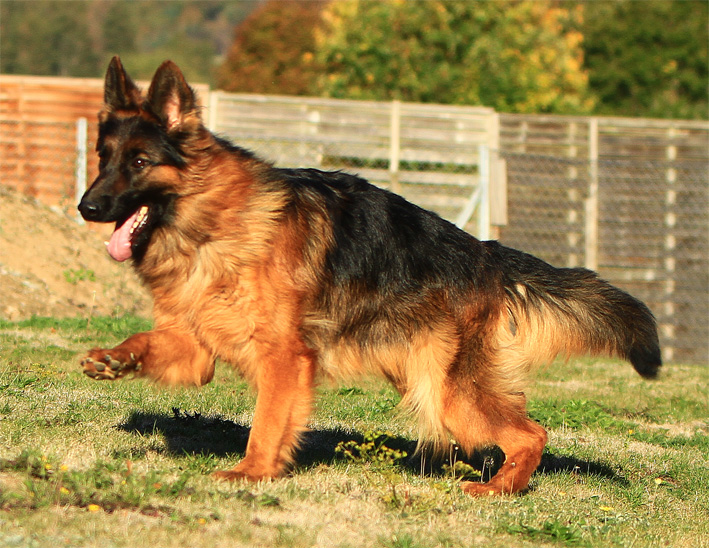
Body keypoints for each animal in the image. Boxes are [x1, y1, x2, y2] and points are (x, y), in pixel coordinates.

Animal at [78, 57, 661, 495]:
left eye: (140, 162)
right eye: (103, 158)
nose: (87, 207)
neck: (214, 221)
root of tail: (487, 254)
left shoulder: (284, 359)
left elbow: (266, 424)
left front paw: (252, 473)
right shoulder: (195, 349)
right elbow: (149, 342)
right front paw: (115, 357)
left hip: (449, 394)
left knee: (531, 433)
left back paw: (498, 489)